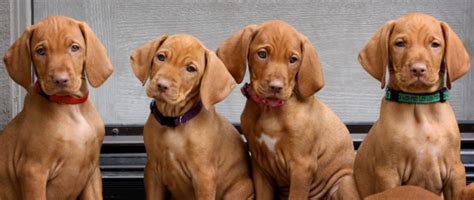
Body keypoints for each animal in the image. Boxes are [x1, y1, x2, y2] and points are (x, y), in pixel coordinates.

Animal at [0, 16, 113, 200]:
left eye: (74, 47)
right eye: (41, 51)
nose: (60, 80)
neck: (70, 107)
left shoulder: (92, 172)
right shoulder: (33, 171)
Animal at [130, 33, 256, 199]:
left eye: (190, 69)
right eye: (161, 57)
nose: (162, 85)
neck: (173, 122)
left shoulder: (204, 176)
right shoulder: (152, 171)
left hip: (240, 188)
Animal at [217, 20, 358, 200]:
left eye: (293, 59)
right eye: (262, 54)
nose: (276, 87)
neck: (270, 111)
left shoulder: (302, 166)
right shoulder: (260, 164)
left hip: (344, 183)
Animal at [356, 12, 470, 200]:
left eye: (435, 44)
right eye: (400, 44)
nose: (418, 69)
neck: (420, 103)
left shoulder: (455, 170)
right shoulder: (388, 172)